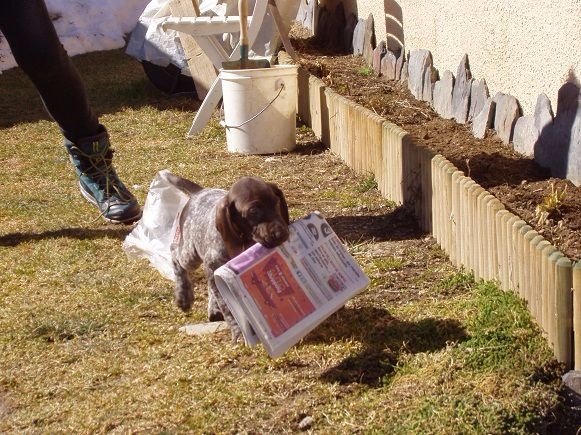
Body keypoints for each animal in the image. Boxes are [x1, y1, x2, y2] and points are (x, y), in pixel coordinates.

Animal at [164, 172, 288, 342]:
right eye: (253, 211)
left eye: (276, 202)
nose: (281, 234)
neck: (244, 240)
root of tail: (199, 192)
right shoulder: (213, 266)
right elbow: (227, 306)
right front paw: (238, 333)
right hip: (190, 254)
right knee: (175, 254)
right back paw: (184, 296)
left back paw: (213, 309)